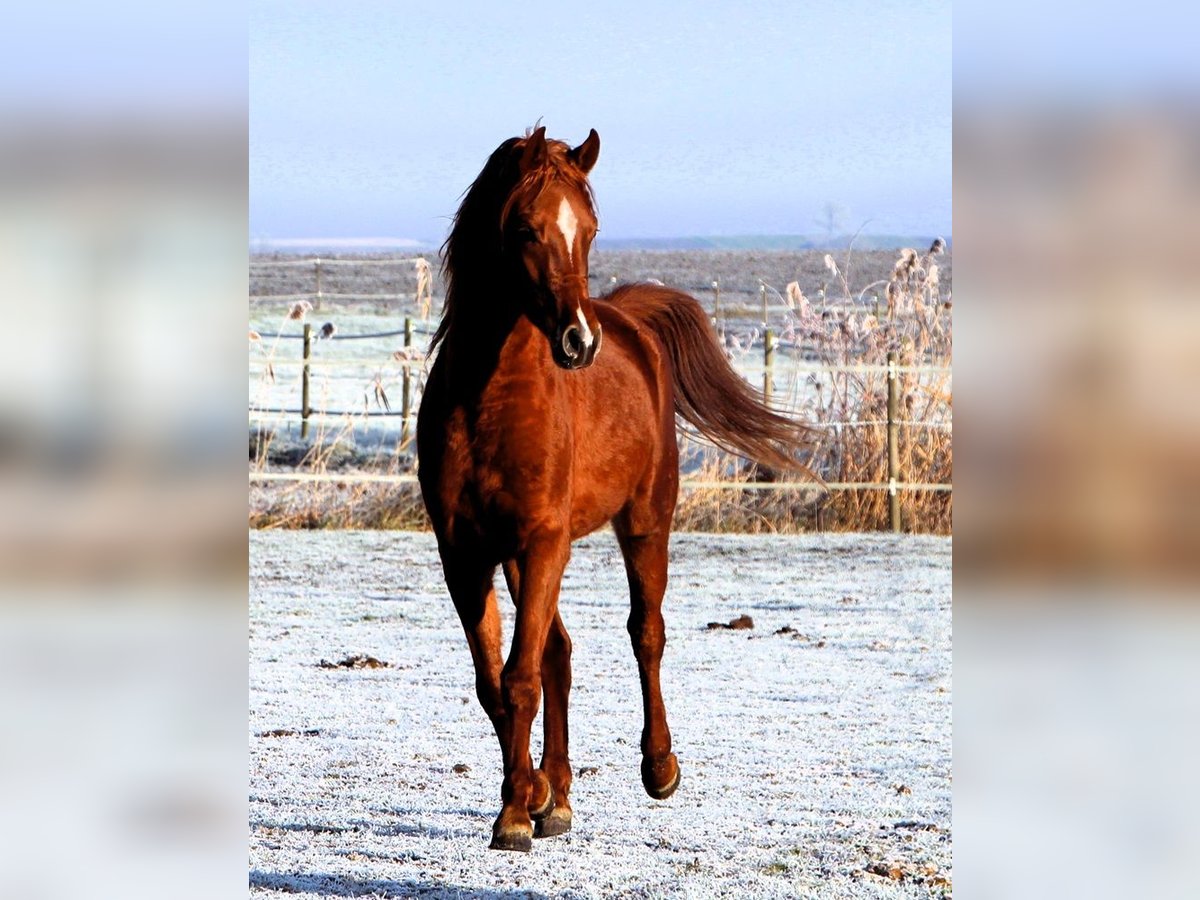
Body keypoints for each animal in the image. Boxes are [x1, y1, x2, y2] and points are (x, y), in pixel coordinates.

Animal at [415, 127, 816, 854]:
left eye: (591, 229)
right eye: (525, 228)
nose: (580, 341)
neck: (490, 403)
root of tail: (628, 320)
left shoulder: (544, 540)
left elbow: (519, 678)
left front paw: (513, 814)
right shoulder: (464, 553)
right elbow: (496, 683)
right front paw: (532, 798)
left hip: (643, 523)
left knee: (645, 633)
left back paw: (659, 766)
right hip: (522, 556)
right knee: (560, 654)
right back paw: (556, 795)